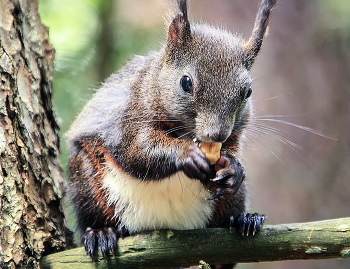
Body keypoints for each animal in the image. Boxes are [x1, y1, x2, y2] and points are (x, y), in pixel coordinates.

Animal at [66, 0, 276, 266]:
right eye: (186, 83)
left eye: (247, 92)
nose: (217, 134)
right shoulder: (127, 118)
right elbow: (138, 150)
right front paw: (187, 155)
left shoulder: (237, 131)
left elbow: (233, 150)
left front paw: (233, 167)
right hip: (87, 180)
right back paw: (100, 233)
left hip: (232, 200)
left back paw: (244, 220)